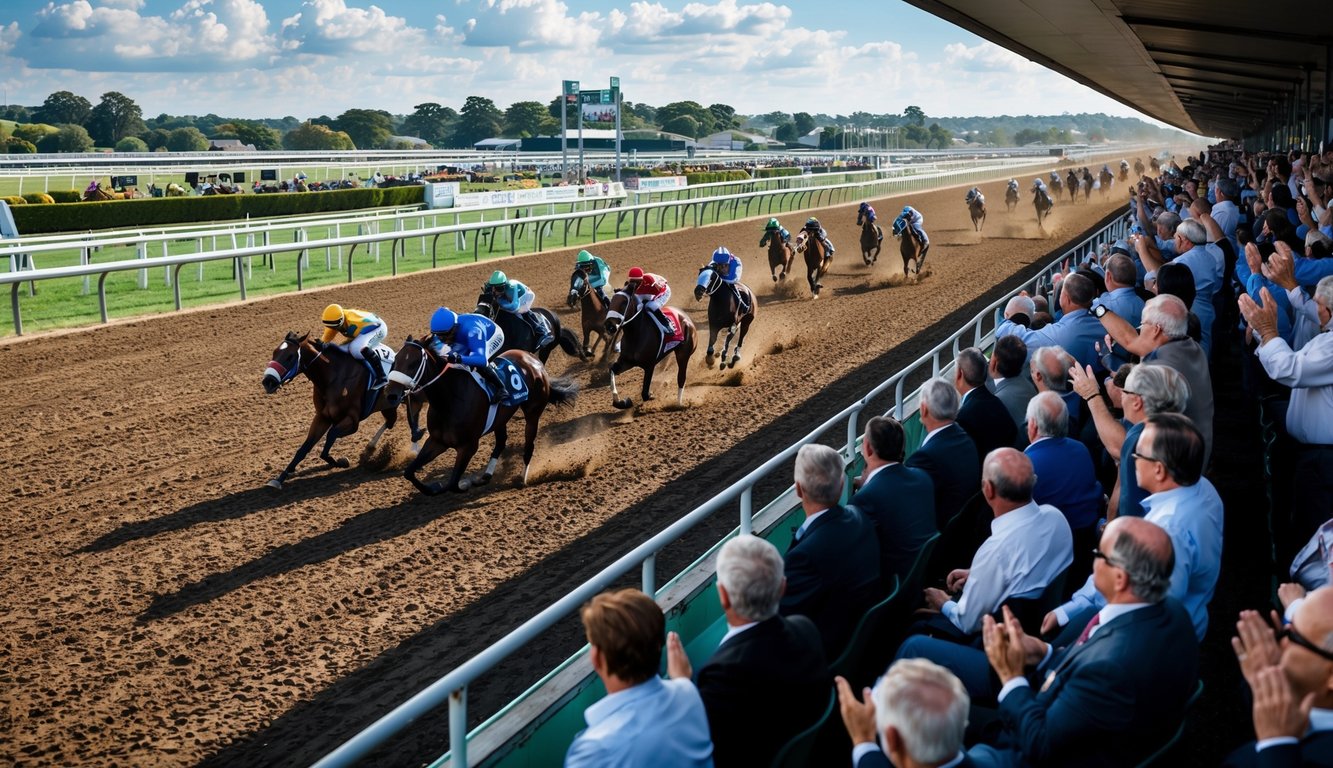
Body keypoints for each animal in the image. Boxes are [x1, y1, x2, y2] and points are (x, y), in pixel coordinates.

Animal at [381, 340, 578, 496]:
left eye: (414, 363)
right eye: (395, 360)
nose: (391, 395)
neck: (449, 400)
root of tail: (534, 360)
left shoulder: (468, 446)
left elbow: (453, 484)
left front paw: (464, 483)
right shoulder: (437, 441)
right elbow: (409, 472)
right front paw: (433, 487)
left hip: (533, 412)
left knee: (529, 445)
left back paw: (522, 478)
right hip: (501, 419)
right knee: (501, 442)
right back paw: (486, 476)